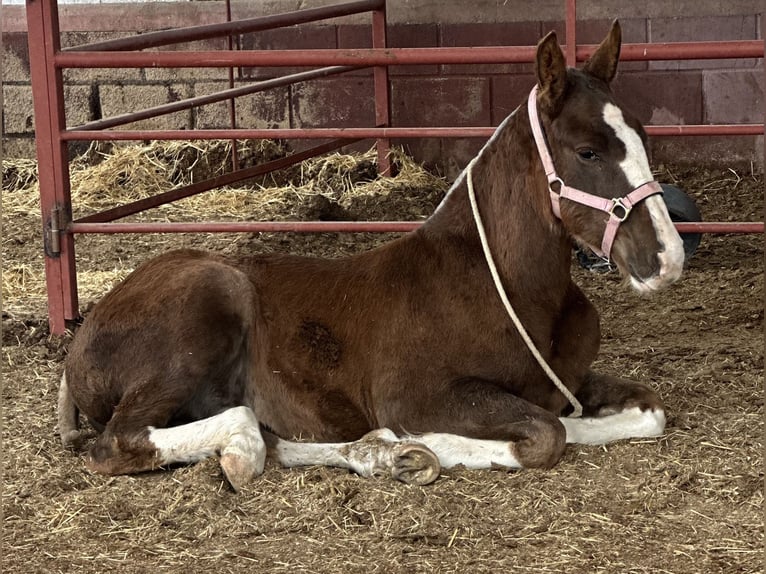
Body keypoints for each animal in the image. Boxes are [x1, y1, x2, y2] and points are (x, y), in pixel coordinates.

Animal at [60, 21, 684, 490]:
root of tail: (81, 338)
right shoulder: (419, 395)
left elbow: (643, 412)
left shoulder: (569, 385)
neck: (504, 288)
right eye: (587, 151)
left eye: (643, 135)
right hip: (206, 307)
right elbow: (545, 435)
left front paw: (399, 448)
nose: (667, 258)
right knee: (125, 441)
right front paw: (421, 441)